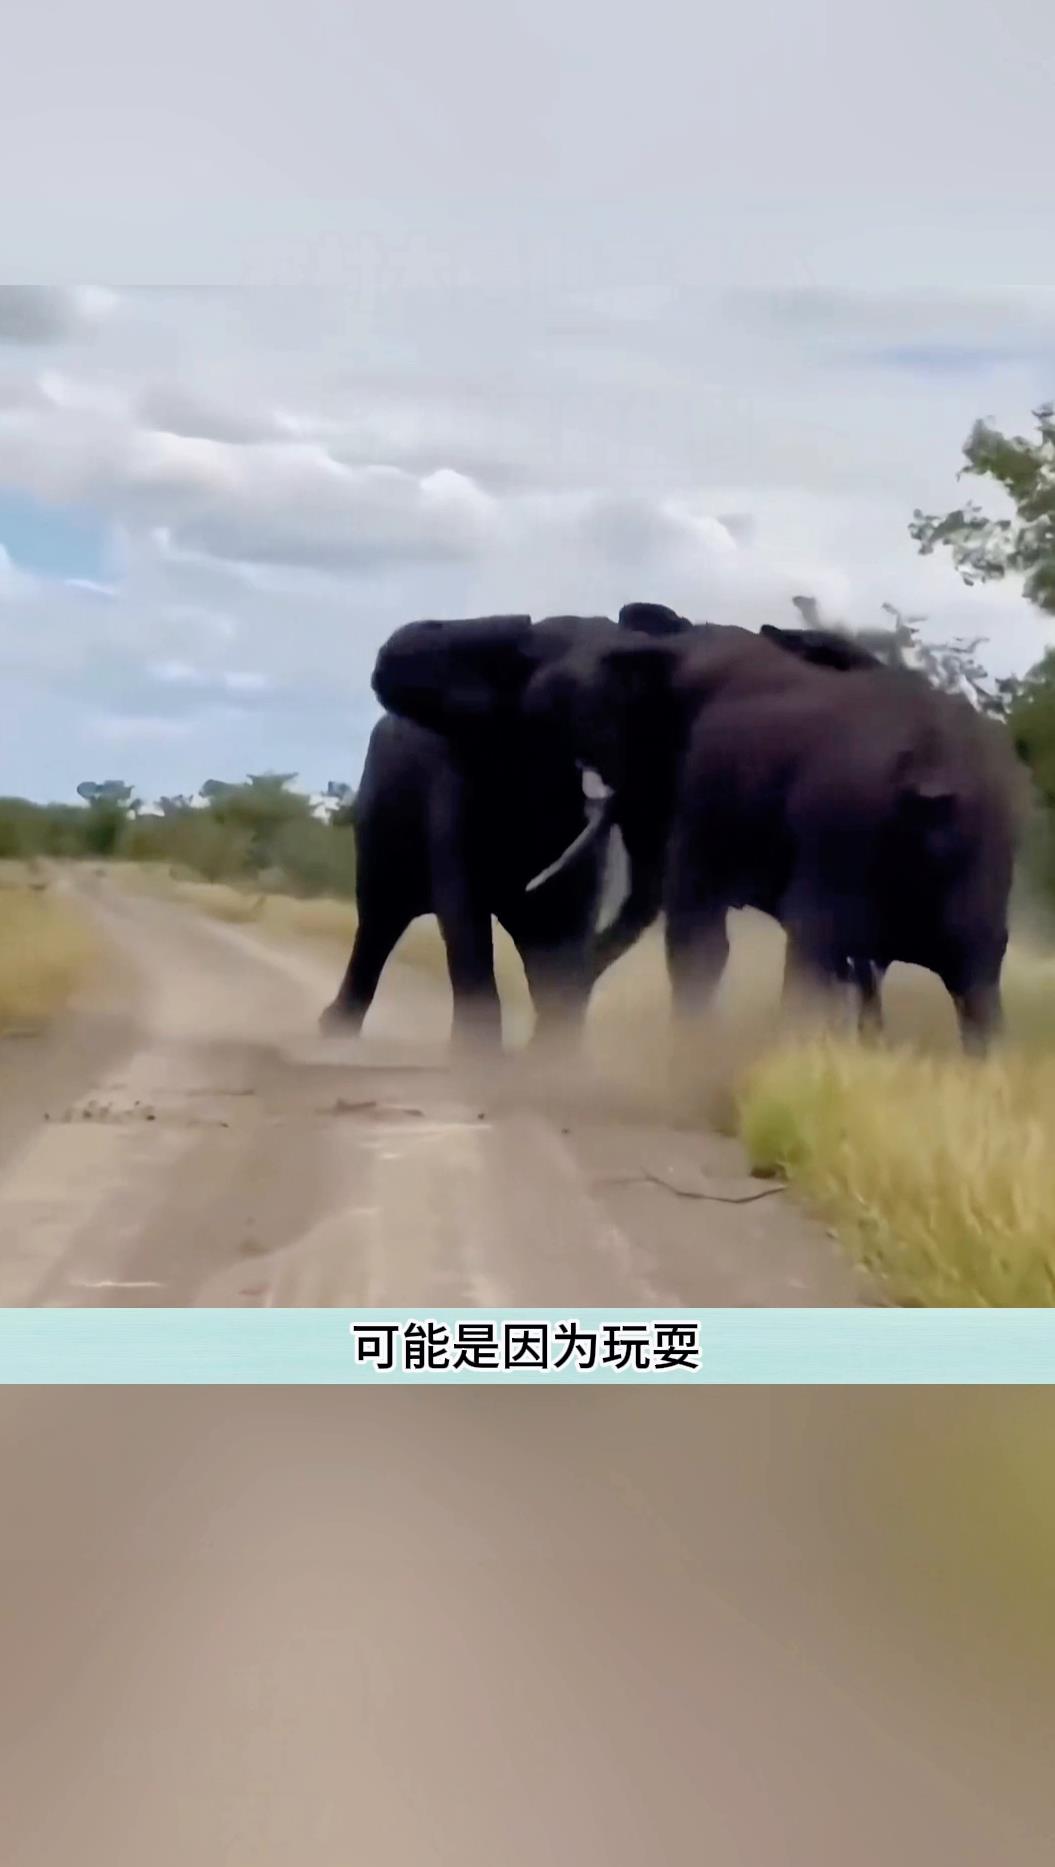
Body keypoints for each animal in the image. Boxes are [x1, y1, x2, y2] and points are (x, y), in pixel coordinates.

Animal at [320, 605, 696, 1048]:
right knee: (380, 916)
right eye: (569, 709)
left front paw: (548, 1059)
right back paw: (333, 1029)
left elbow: (563, 929)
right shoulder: (457, 779)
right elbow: (464, 913)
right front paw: (478, 1059)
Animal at [518, 629, 1025, 1053]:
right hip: (986, 853)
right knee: (976, 984)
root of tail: (936, 768)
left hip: (842, 824)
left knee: (815, 945)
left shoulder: (703, 787)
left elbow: (697, 933)